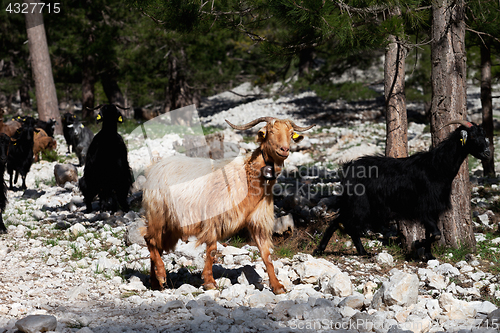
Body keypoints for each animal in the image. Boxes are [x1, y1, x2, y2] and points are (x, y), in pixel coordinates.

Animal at [141, 116, 312, 294]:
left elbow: (266, 254)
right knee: (149, 239)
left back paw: (156, 283)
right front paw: (209, 282)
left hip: (171, 225)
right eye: (270, 131)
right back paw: (161, 275)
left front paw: (277, 286)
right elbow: (212, 250)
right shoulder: (212, 219)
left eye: (291, 133)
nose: (284, 149)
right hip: (158, 214)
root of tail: (153, 168)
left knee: (156, 246)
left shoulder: (258, 221)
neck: (246, 177)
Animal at [314, 120, 490, 258]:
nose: (487, 153)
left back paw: (348, 251)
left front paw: (428, 255)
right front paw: (417, 245)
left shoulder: (433, 210)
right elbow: (435, 234)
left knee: (340, 222)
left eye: (483, 135)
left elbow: (432, 233)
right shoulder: (423, 208)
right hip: (360, 204)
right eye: (472, 136)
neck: (437, 168)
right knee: (346, 224)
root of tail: (348, 168)